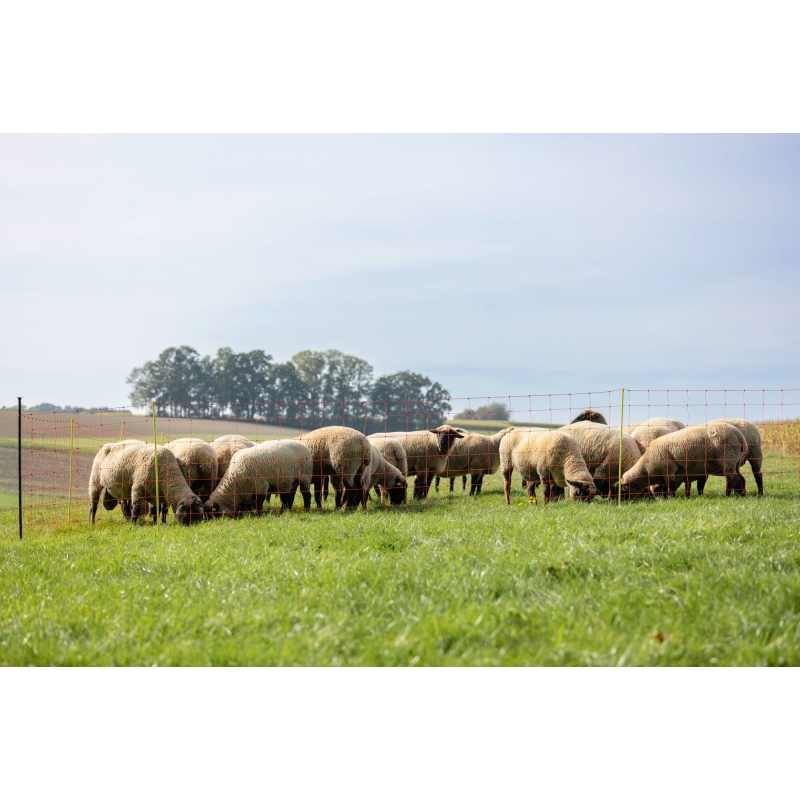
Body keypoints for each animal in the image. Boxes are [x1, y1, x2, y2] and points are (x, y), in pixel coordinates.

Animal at [618, 422, 747, 499]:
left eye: (626, 489)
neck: (646, 468)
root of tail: (740, 436)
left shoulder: (668, 469)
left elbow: (670, 486)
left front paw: (669, 498)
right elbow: (681, 485)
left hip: (727, 458)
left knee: (735, 479)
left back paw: (739, 496)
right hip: (734, 461)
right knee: (741, 478)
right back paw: (741, 494)